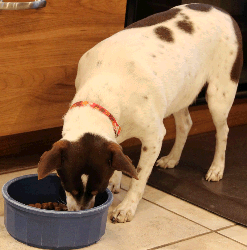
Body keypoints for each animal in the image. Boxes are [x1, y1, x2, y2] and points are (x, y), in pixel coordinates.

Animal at [37, 3, 243, 223]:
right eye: (68, 187)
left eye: (97, 190)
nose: (81, 214)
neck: (105, 86)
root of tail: (221, 10)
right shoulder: (115, 129)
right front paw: (116, 180)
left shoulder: (154, 138)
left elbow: (139, 177)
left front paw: (127, 207)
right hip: (180, 91)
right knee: (185, 124)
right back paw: (172, 158)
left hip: (219, 95)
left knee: (223, 131)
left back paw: (216, 168)